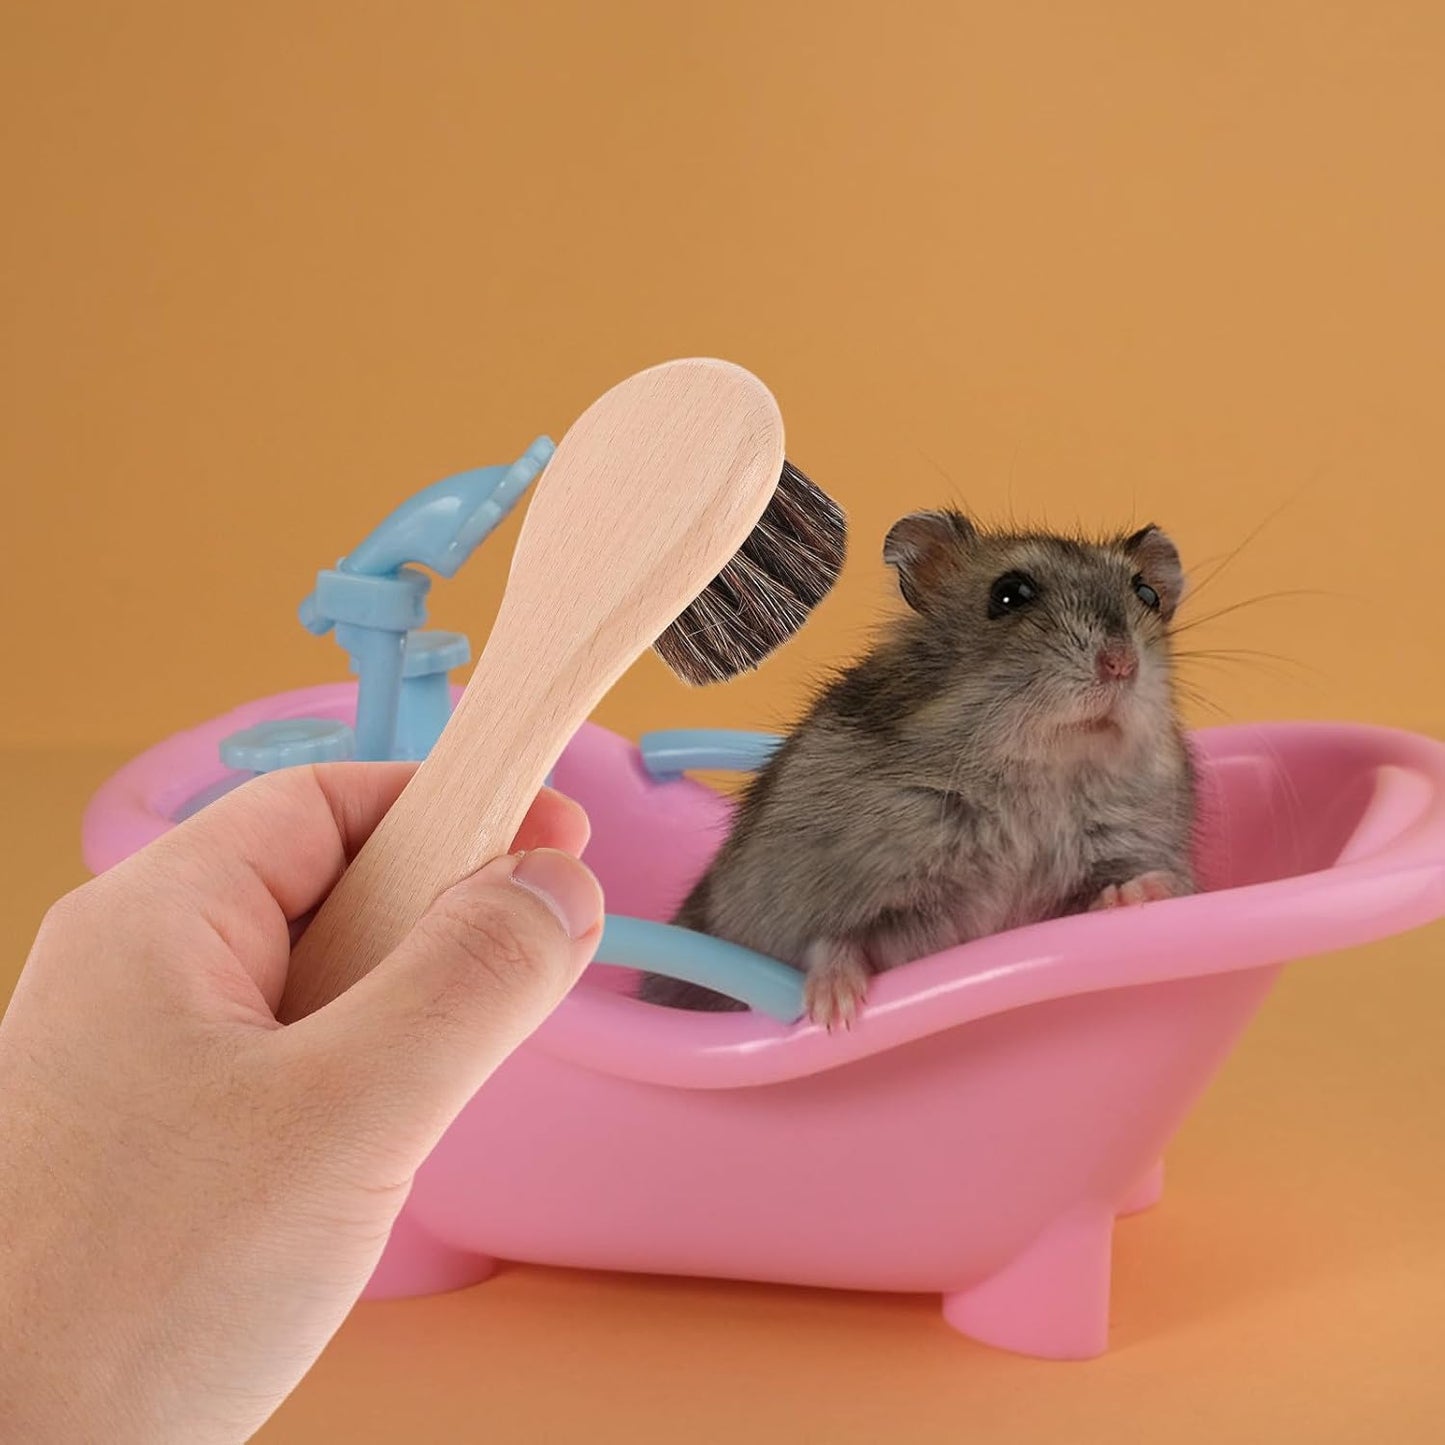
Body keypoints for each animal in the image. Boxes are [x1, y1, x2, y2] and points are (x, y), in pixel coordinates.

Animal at [636, 508, 1197, 1030]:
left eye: (1146, 593)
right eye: (1010, 594)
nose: (1122, 663)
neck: (1040, 773)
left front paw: (1144, 892)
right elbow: (832, 939)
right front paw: (834, 1012)